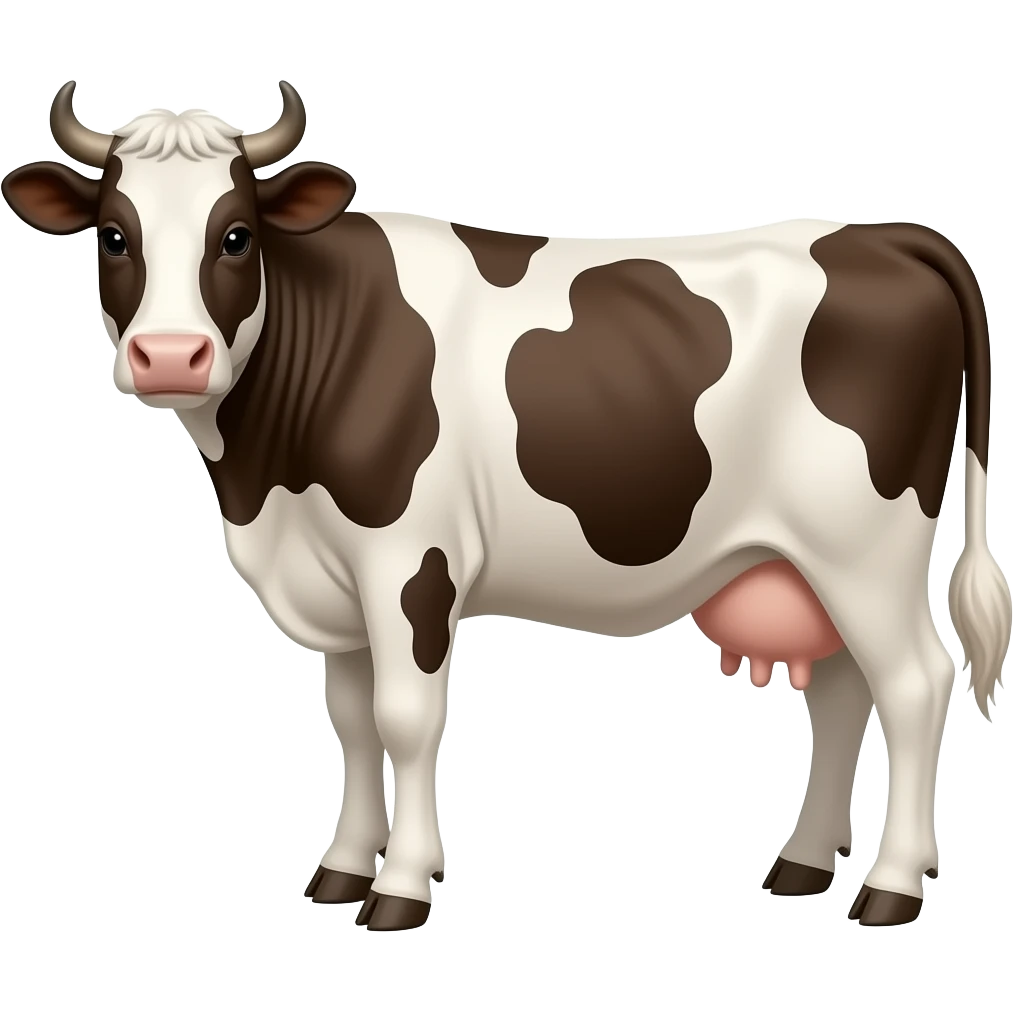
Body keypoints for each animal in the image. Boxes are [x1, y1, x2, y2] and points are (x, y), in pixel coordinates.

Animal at [2, 79, 1009, 932]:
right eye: (114, 236)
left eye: (237, 235)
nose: (171, 356)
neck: (265, 483)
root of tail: (882, 235)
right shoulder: (336, 580)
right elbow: (352, 719)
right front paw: (341, 870)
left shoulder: (407, 564)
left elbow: (405, 718)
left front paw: (401, 889)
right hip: (802, 557)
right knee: (842, 690)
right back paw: (801, 863)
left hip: (865, 545)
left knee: (914, 683)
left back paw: (890, 887)